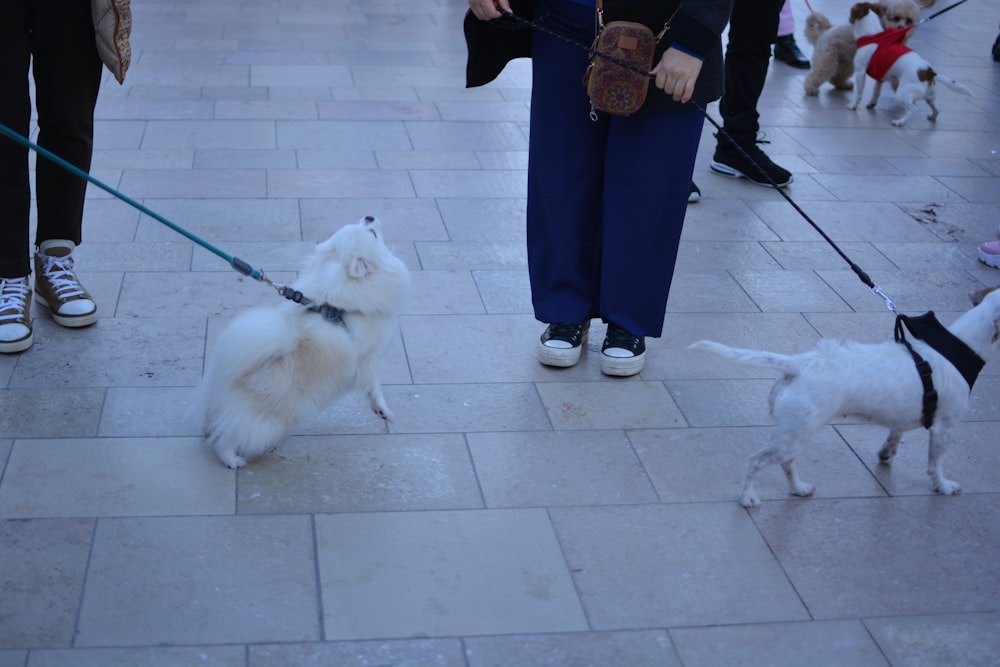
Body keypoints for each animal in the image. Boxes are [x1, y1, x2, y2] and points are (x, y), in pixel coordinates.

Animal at [191, 217, 410, 468]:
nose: (370, 217)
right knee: (228, 436)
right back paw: (232, 459)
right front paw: (384, 412)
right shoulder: (368, 359)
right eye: (372, 233)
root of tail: (229, 382)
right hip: (262, 423)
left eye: (369, 227)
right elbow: (375, 388)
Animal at [692, 286, 1000, 506]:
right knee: (757, 461)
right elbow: (936, 465)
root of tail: (799, 363)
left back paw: (798, 488)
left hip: (794, 433)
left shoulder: (902, 420)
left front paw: (886, 454)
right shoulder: (944, 428)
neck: (962, 346)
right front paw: (944, 486)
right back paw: (747, 498)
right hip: (793, 436)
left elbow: (894, 436)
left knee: (787, 463)